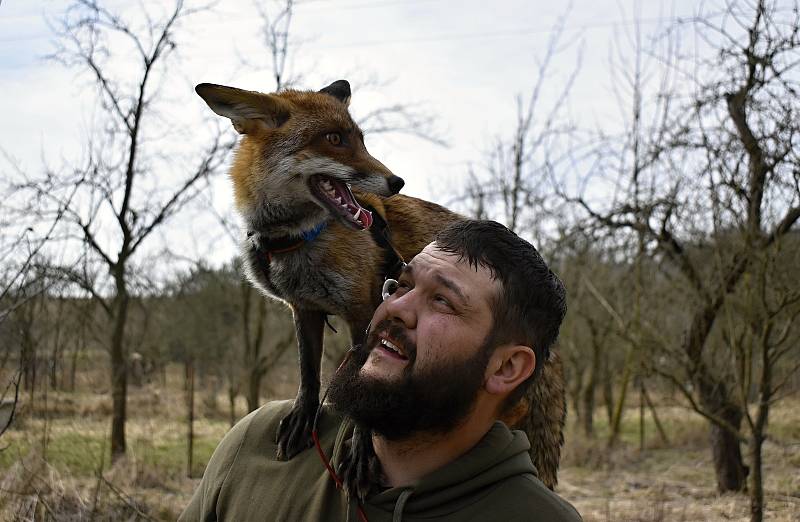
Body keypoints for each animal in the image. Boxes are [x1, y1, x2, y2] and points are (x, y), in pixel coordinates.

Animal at [196, 79, 564, 490]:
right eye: (334, 139)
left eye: (361, 141)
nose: (396, 181)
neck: (297, 239)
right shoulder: (305, 308)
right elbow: (308, 375)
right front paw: (303, 419)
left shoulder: (363, 308)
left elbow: (360, 386)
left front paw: (361, 448)